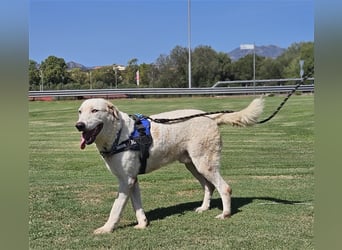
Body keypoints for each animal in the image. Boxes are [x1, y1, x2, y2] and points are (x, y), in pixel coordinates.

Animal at [75, 96, 264, 233]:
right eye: (80, 112)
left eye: (95, 110)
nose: (79, 125)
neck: (120, 135)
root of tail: (208, 116)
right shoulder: (132, 180)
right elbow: (137, 206)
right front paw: (142, 224)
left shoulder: (126, 181)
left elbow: (116, 208)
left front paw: (106, 228)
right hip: (193, 165)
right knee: (209, 186)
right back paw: (204, 208)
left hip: (204, 164)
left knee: (225, 188)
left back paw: (225, 214)